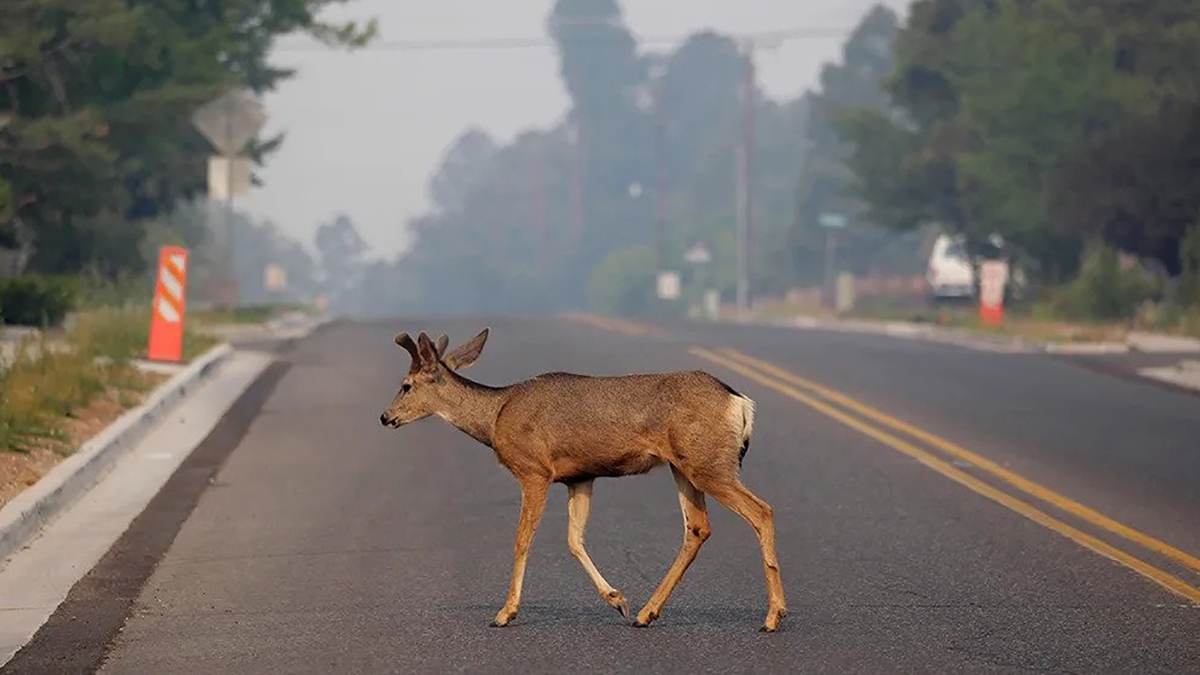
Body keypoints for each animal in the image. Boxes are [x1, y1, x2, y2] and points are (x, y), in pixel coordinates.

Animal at [376, 326, 787, 629]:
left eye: (406, 385)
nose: (385, 417)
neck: (495, 418)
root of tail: (739, 401)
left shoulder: (534, 470)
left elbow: (522, 539)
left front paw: (505, 613)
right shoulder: (580, 477)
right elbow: (574, 540)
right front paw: (617, 599)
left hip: (709, 463)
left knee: (762, 510)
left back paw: (773, 616)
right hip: (684, 465)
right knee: (698, 527)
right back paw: (645, 613)